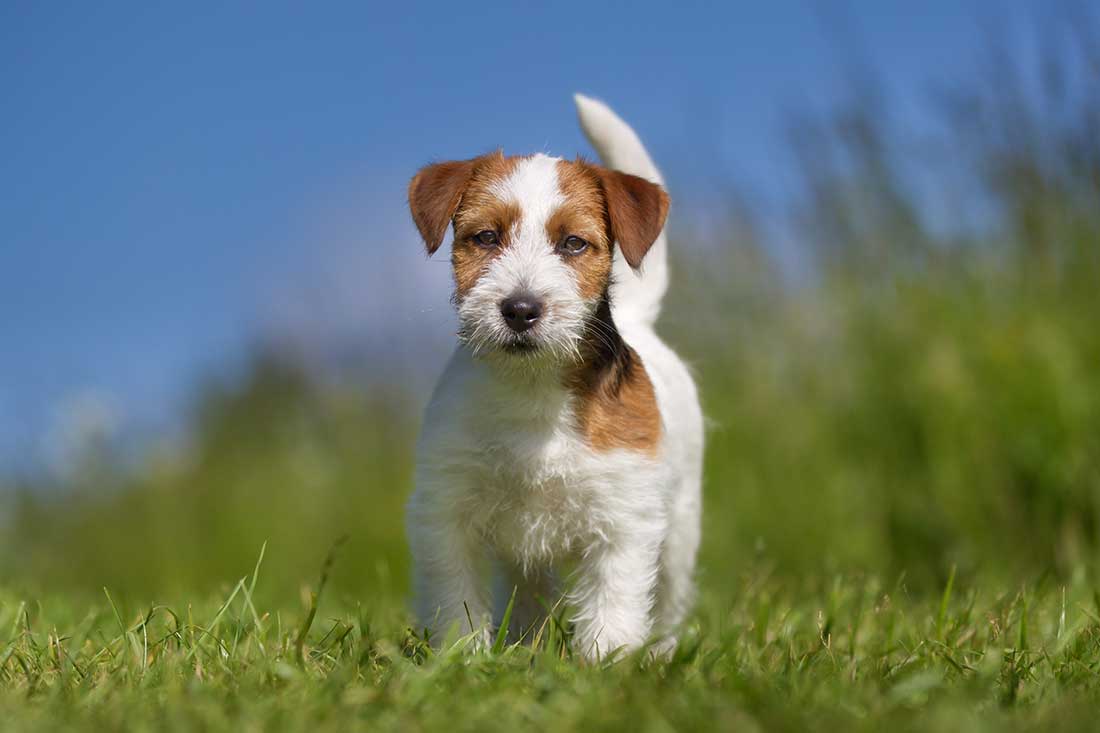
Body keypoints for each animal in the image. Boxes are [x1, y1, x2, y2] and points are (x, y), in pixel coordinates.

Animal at [404, 91, 704, 655]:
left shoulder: (623, 521)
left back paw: (660, 654)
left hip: (679, 528)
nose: (520, 309)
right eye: (486, 237)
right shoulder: (446, 511)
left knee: (669, 601)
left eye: (574, 244)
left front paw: (607, 663)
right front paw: (460, 660)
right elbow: (456, 598)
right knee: (527, 591)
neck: (534, 390)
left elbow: (613, 609)